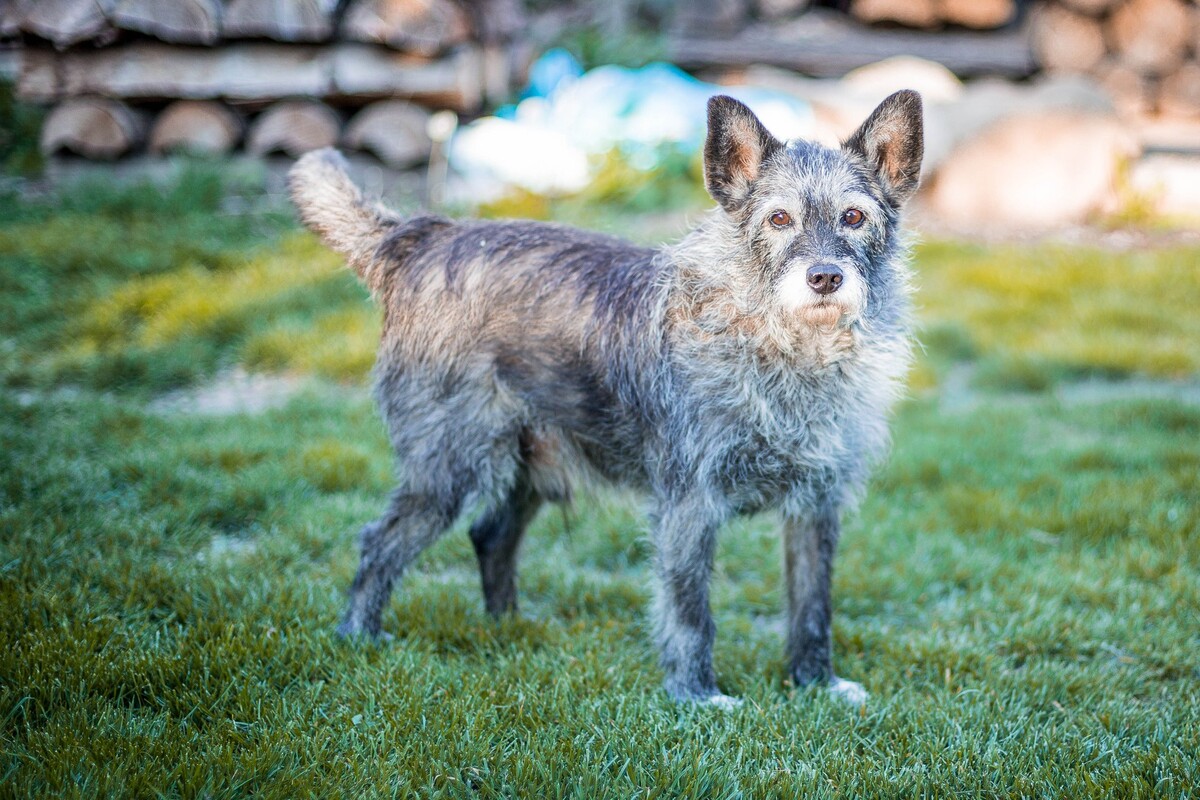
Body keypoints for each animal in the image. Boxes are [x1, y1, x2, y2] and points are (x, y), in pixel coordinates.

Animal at [285, 90, 921, 705]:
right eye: (780, 218)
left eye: (854, 216)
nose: (825, 278)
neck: (782, 346)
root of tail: (417, 240)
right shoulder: (687, 506)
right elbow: (690, 613)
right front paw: (697, 696)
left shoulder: (815, 506)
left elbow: (813, 606)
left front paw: (817, 684)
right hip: (447, 470)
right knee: (380, 542)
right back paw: (360, 637)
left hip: (529, 464)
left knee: (490, 535)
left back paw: (508, 629)